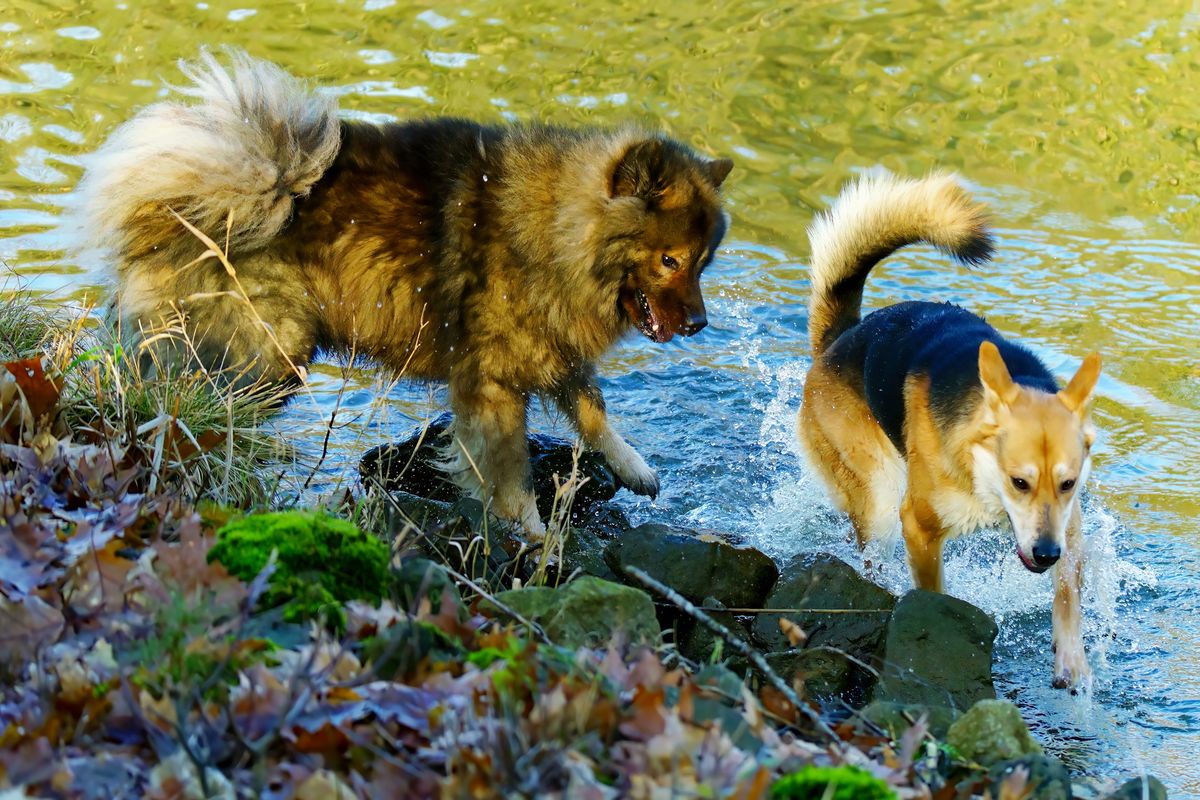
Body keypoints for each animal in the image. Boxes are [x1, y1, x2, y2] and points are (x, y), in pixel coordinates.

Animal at [77, 50, 729, 537]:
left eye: (703, 262)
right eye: (669, 260)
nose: (699, 324)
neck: (551, 231)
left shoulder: (551, 347)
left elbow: (592, 410)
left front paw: (634, 467)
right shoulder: (493, 382)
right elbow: (509, 468)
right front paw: (531, 532)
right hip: (268, 352)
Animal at [801, 172, 1099, 686]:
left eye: (1067, 483)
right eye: (1019, 482)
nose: (1044, 554)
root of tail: (839, 339)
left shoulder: (1069, 526)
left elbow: (1067, 592)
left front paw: (1071, 657)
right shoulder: (918, 527)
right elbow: (935, 596)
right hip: (878, 496)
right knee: (866, 546)